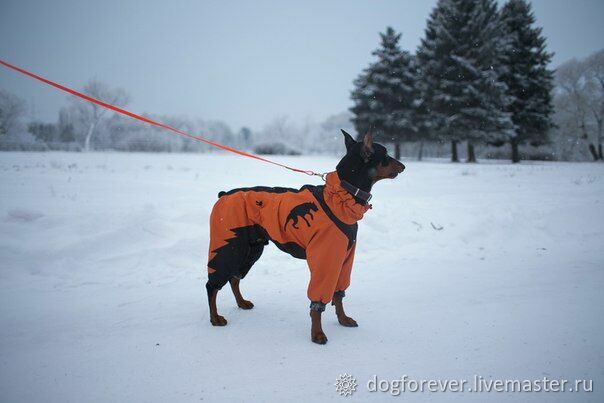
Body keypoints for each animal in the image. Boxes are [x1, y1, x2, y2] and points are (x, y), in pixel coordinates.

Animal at [204, 131, 406, 346]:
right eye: (386, 154)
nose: (403, 166)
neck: (341, 196)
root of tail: (223, 195)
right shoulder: (325, 259)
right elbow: (318, 302)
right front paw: (317, 333)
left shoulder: (344, 259)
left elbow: (339, 296)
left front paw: (343, 319)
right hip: (230, 246)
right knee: (212, 285)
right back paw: (215, 317)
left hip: (251, 249)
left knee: (234, 278)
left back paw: (241, 303)